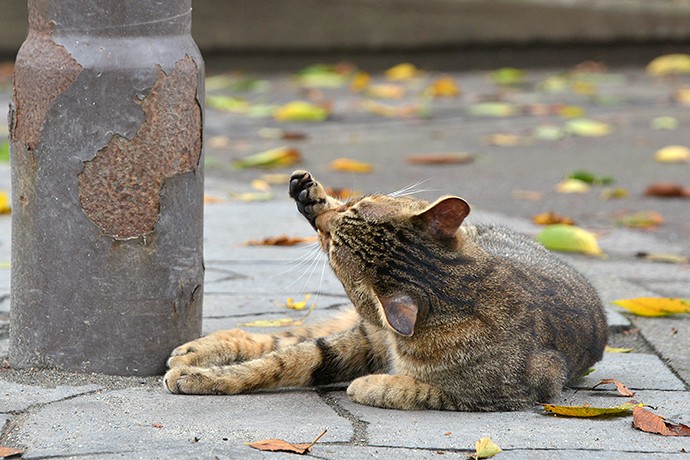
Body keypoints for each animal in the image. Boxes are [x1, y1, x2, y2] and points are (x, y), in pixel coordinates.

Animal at [164, 169, 604, 410]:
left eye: (331, 246)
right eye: (355, 206)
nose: (324, 220)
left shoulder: (520, 389)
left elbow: (419, 390)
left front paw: (372, 385)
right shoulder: (360, 340)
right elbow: (282, 360)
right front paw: (202, 374)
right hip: (358, 329)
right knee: (286, 336)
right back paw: (196, 349)